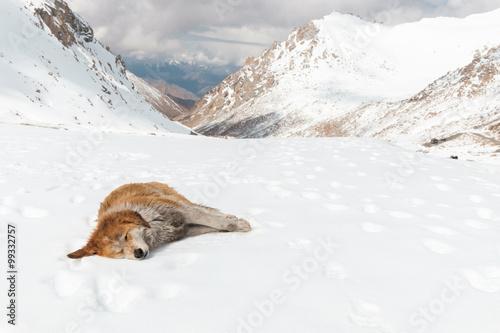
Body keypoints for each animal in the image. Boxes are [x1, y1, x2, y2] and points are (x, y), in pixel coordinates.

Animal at [67, 182, 250, 260]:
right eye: (118, 252)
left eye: (126, 236)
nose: (138, 253)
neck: (153, 223)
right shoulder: (185, 229)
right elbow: (215, 227)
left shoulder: (184, 212)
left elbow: (217, 221)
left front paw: (240, 224)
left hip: (178, 199)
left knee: (207, 210)